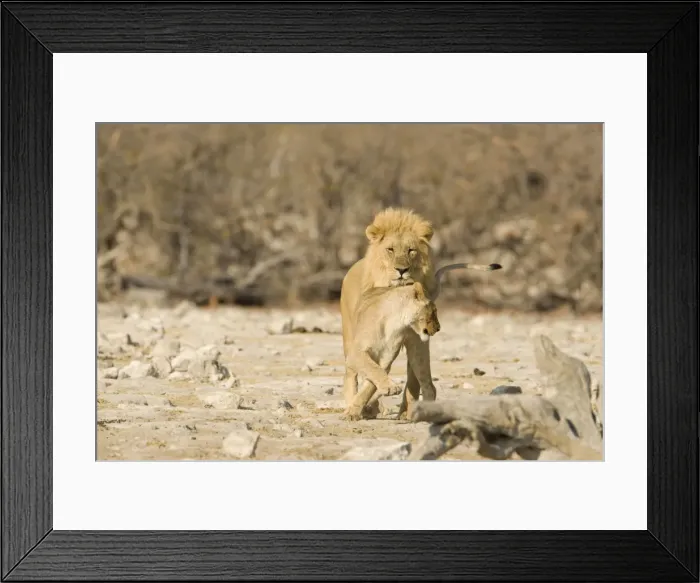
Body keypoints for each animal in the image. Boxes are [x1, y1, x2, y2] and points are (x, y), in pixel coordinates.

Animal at [343, 282, 441, 421]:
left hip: (418, 353)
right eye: (434, 311)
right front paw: (352, 413)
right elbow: (373, 370)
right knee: (350, 377)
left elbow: (370, 384)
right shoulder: (356, 353)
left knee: (429, 386)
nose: (438, 328)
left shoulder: (386, 358)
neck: (398, 322)